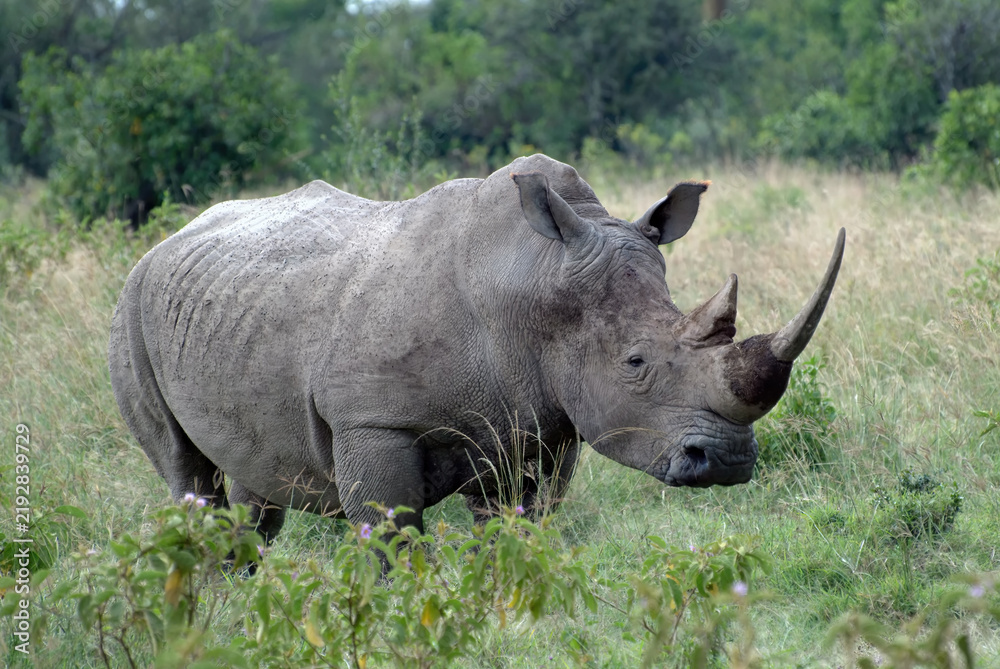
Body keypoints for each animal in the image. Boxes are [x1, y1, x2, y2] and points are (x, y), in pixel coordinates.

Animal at [109, 154, 844, 542]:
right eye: (635, 363)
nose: (728, 461)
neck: (534, 281)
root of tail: (167, 243)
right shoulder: (370, 420)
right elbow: (396, 535)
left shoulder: (540, 423)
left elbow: (518, 529)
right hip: (130, 307)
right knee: (186, 472)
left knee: (252, 486)